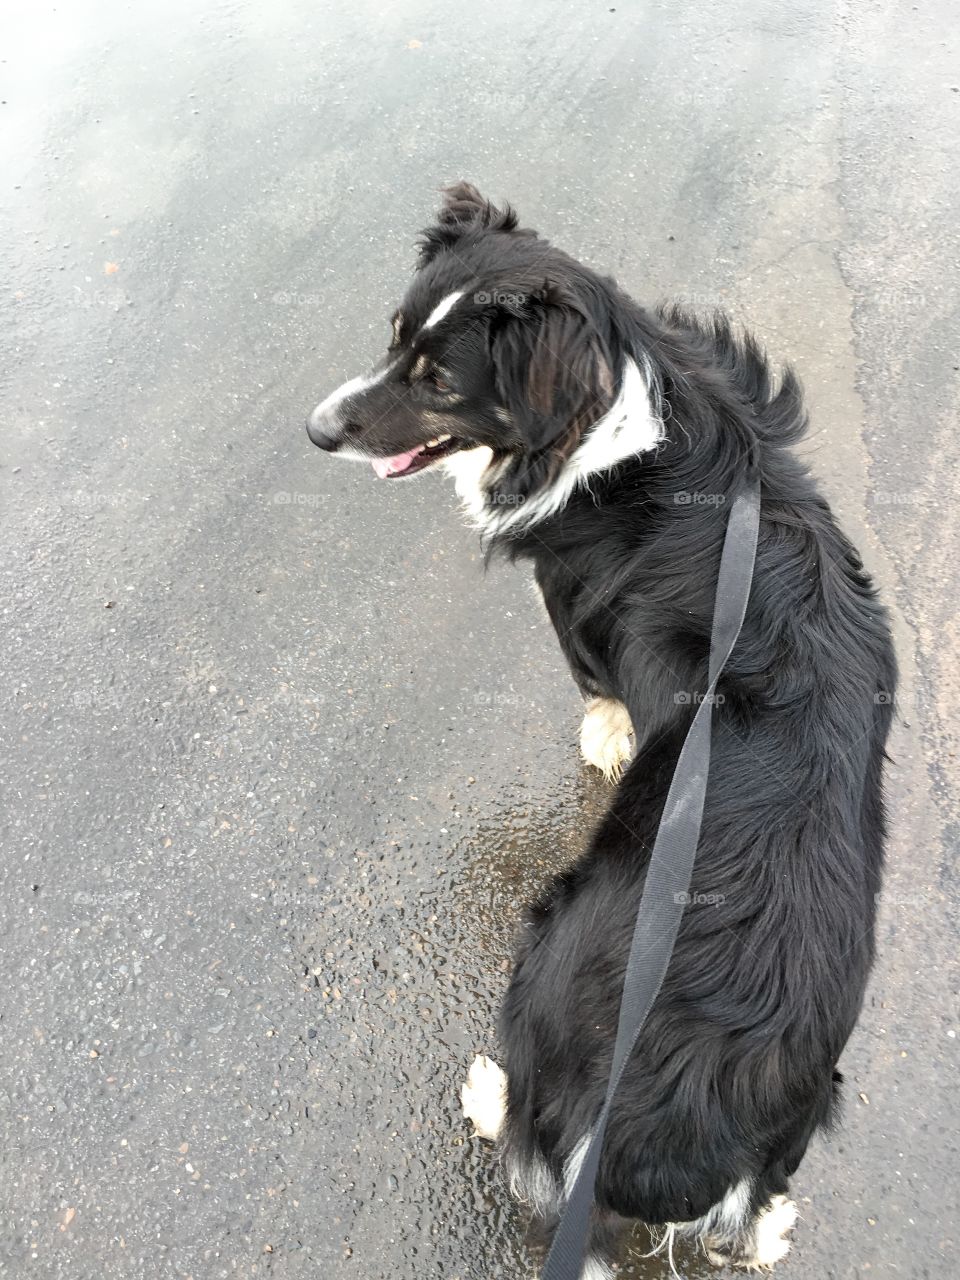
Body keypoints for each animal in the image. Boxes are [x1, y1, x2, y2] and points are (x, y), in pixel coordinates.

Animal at [304, 185, 901, 1274]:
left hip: (542, 953)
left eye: (438, 380)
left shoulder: (573, 613)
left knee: (532, 1131)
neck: (616, 415)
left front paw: (607, 739)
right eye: (394, 335)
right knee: (761, 1213)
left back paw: (490, 1095)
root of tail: (687, 1110)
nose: (317, 430)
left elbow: (599, 692)